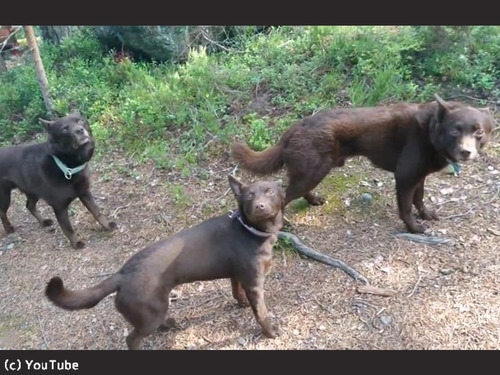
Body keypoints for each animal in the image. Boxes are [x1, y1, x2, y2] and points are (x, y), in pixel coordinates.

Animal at [0, 111, 116, 248]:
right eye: (64, 129)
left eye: (80, 121)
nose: (79, 130)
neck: (66, 166)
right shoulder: (59, 206)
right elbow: (68, 228)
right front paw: (76, 243)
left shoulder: (85, 193)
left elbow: (97, 212)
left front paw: (107, 225)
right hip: (5, 196)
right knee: (3, 213)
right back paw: (8, 228)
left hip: (32, 191)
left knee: (29, 206)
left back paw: (43, 222)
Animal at [45, 176, 284, 350]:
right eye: (249, 195)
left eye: (270, 192)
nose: (259, 206)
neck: (249, 229)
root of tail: (122, 274)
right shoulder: (255, 285)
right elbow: (261, 314)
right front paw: (271, 333)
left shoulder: (237, 275)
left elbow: (237, 292)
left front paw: (241, 304)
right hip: (151, 311)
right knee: (132, 339)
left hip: (155, 309)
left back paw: (170, 324)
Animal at [232, 95, 494, 234]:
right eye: (454, 130)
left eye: (479, 132)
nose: (466, 152)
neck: (430, 131)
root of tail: (294, 128)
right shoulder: (405, 176)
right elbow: (406, 207)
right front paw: (413, 228)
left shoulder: (419, 177)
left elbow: (419, 199)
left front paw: (427, 214)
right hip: (314, 171)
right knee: (285, 196)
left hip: (312, 172)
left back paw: (314, 200)